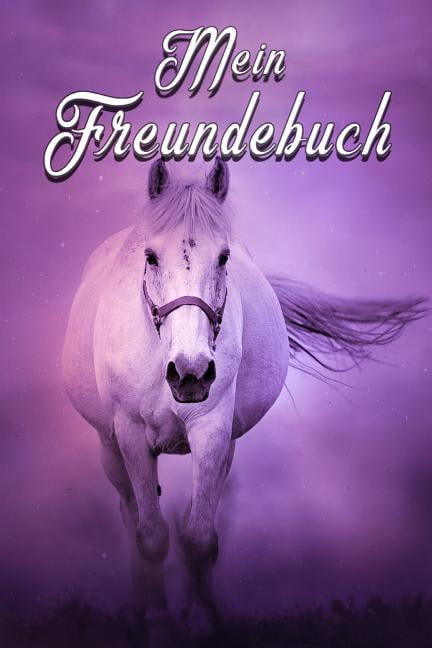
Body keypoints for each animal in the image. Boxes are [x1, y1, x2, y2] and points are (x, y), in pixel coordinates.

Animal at [62, 158, 426, 644]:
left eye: (223, 257)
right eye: (151, 256)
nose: (191, 373)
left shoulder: (213, 429)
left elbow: (199, 536)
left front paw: (202, 621)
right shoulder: (131, 435)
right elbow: (152, 535)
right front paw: (157, 623)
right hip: (109, 447)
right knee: (131, 515)